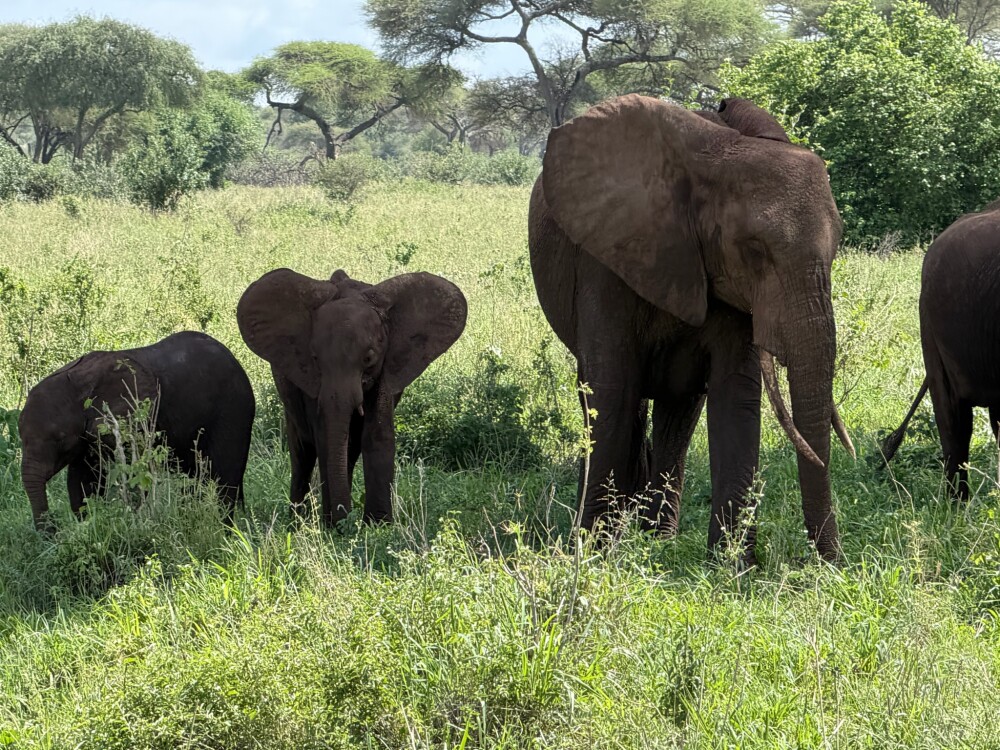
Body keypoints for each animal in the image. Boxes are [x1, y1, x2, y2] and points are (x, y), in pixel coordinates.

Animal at [18, 331, 255, 532]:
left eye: (59, 440)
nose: (54, 530)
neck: (76, 382)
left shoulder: (134, 418)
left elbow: (134, 472)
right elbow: (84, 480)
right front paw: (87, 526)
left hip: (234, 410)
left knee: (225, 475)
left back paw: (225, 530)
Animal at [236, 268, 467, 527]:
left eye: (369, 358)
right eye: (315, 358)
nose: (342, 523)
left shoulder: (387, 366)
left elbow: (376, 434)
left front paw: (378, 525)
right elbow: (325, 438)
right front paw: (335, 525)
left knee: (348, 447)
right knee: (303, 453)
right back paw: (298, 522)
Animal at [528, 94, 854, 563]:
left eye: (837, 248)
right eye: (754, 250)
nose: (830, 565)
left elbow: (735, 393)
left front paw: (731, 568)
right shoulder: (604, 257)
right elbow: (611, 386)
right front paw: (592, 556)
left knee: (678, 411)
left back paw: (658, 541)